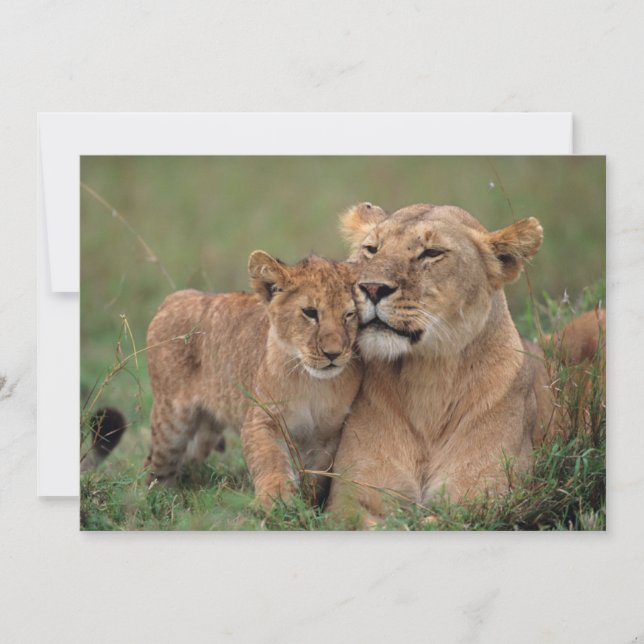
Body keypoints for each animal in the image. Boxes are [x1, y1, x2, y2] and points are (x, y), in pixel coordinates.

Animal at [145, 251, 362, 507]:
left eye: (349, 315)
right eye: (310, 312)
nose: (333, 354)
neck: (313, 382)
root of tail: (174, 298)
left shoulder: (328, 435)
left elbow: (315, 476)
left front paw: (307, 503)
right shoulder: (262, 418)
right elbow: (270, 458)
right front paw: (276, 498)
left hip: (206, 430)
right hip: (171, 422)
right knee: (155, 465)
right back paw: (152, 497)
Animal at [327, 202, 605, 524]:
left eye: (431, 252)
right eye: (372, 249)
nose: (371, 288)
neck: (427, 379)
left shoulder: (484, 498)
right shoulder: (349, 499)